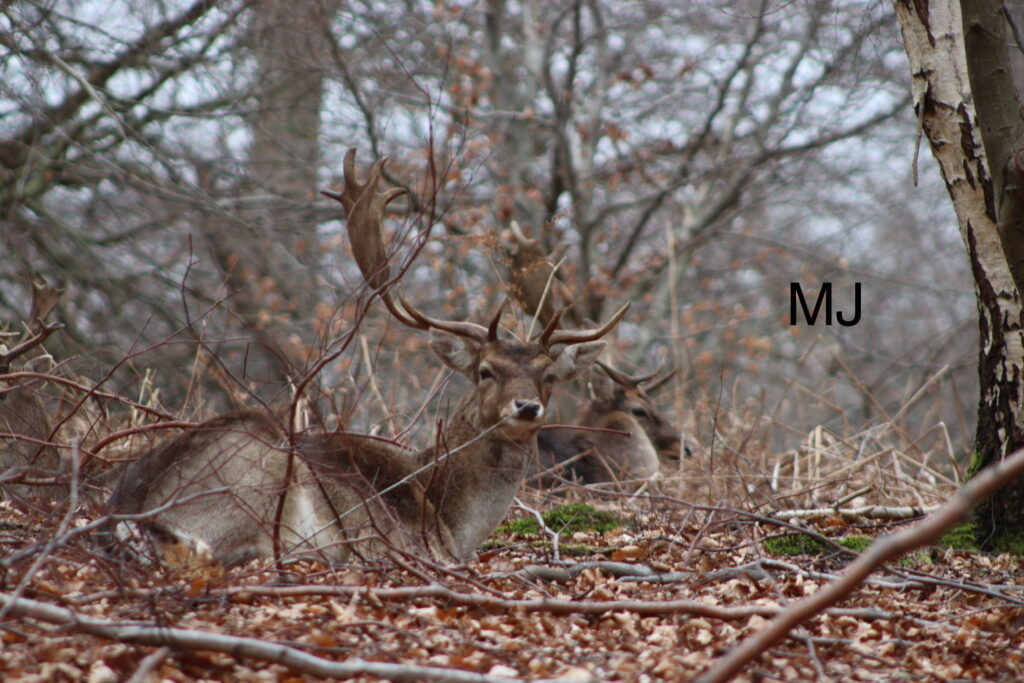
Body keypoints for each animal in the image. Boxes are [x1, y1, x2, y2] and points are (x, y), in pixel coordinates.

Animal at [106, 149, 627, 566]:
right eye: (485, 371)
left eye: (549, 377)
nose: (527, 406)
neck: (446, 513)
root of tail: (125, 512)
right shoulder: (408, 541)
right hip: (255, 472)